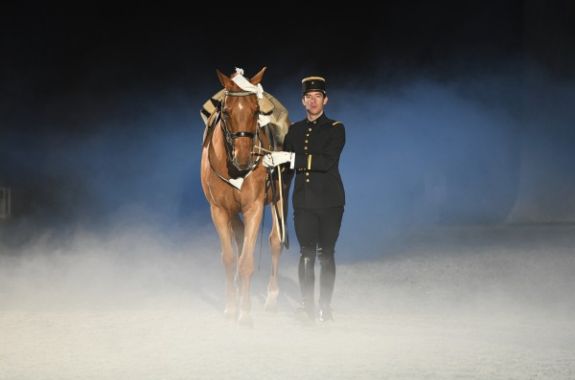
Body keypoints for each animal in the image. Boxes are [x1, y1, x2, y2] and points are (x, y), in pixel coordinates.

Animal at [200, 67, 290, 326]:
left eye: (256, 110)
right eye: (226, 111)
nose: (243, 156)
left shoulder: (254, 208)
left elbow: (247, 261)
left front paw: (246, 313)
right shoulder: (219, 210)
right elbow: (230, 259)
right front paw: (232, 307)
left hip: (280, 197)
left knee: (275, 241)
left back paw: (271, 298)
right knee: (239, 238)